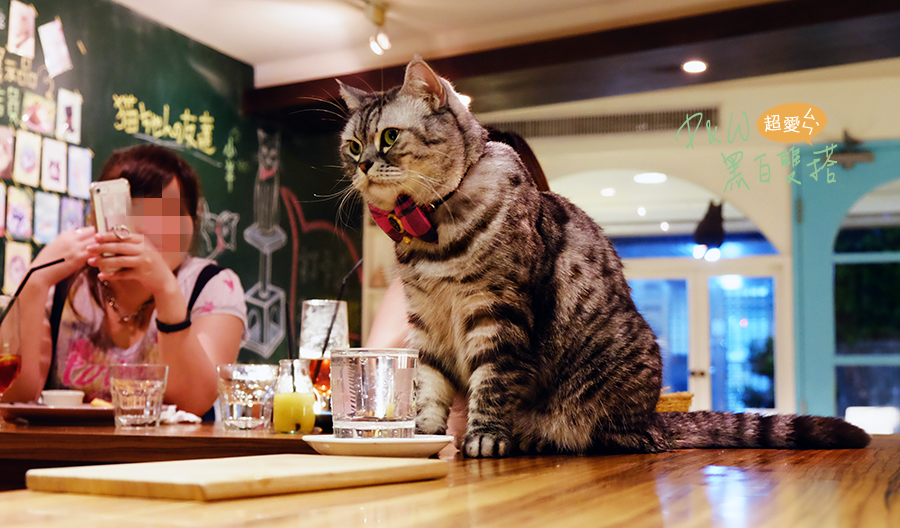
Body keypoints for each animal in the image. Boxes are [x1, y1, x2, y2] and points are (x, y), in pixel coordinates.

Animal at [338, 57, 872, 458]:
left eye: (388, 137)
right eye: (351, 145)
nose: (361, 165)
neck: (428, 232)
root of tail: (653, 415)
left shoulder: (497, 313)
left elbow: (491, 381)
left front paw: (484, 437)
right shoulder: (426, 322)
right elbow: (426, 383)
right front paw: (423, 433)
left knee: (625, 436)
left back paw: (548, 438)